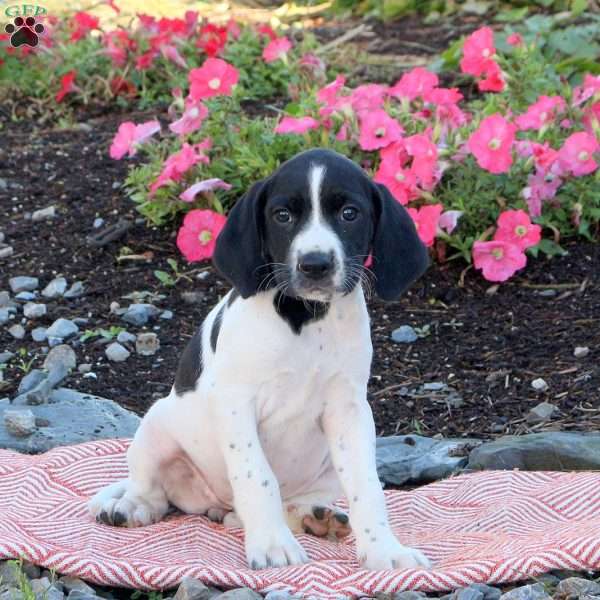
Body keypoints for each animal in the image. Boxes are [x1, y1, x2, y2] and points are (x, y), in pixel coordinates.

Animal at [89, 148, 428, 568]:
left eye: (350, 213)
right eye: (282, 215)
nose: (315, 264)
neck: (305, 318)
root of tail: (217, 506)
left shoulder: (349, 410)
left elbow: (367, 486)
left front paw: (385, 550)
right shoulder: (236, 403)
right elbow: (257, 477)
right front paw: (271, 544)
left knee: (290, 502)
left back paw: (313, 517)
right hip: (157, 427)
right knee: (152, 488)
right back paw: (133, 507)